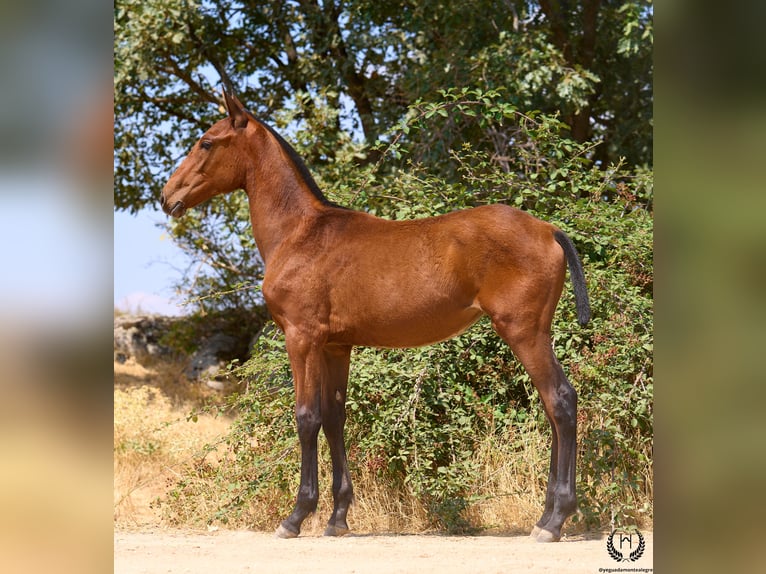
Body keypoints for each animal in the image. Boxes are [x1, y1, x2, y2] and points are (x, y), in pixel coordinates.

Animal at [161, 89, 591, 543]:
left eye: (207, 142)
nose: (167, 196)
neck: (300, 234)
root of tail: (548, 230)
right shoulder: (335, 346)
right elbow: (334, 418)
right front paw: (337, 518)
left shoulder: (302, 338)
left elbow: (307, 418)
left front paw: (296, 517)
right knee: (553, 408)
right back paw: (548, 515)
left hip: (524, 331)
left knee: (560, 401)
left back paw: (554, 521)